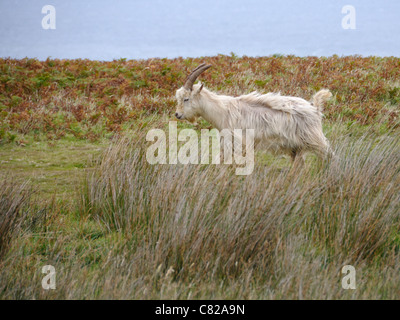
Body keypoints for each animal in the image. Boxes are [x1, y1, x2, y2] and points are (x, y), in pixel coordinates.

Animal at [175, 62, 334, 164]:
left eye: (186, 99)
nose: (177, 114)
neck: (223, 111)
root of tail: (315, 108)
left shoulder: (238, 142)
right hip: (296, 147)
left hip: (314, 139)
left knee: (329, 155)